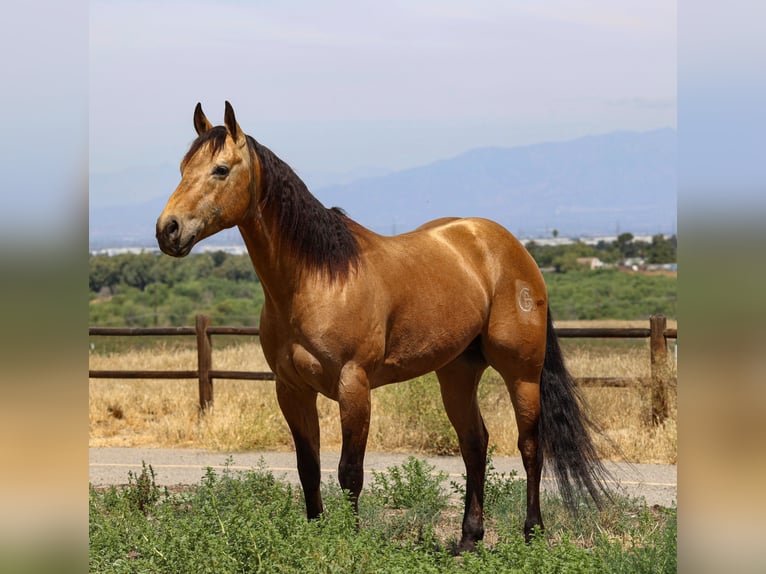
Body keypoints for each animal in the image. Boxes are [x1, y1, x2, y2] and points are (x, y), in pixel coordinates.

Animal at [156, 101, 612, 552]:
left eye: (220, 169)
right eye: (182, 167)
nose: (168, 229)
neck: (317, 279)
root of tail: (512, 249)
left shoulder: (353, 385)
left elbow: (349, 472)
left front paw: (350, 539)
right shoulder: (291, 389)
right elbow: (308, 466)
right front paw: (317, 535)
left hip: (522, 373)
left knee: (530, 446)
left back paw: (532, 533)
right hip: (457, 373)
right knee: (474, 444)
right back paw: (469, 538)